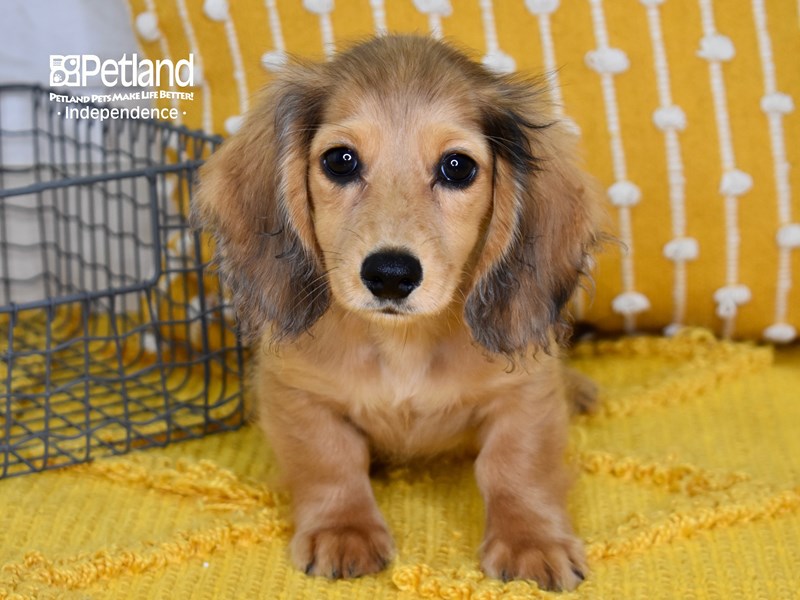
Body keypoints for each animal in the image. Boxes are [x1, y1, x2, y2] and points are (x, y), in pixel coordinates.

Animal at [195, 34, 600, 592]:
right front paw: (343, 529)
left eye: (457, 167)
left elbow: (515, 465)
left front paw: (530, 539)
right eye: (340, 160)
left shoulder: (526, 393)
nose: (389, 274)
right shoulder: (295, 392)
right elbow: (329, 460)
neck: (402, 345)